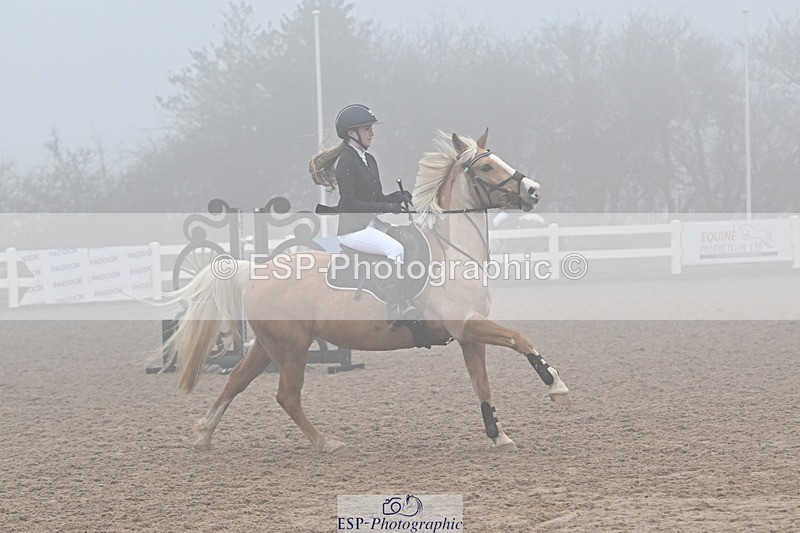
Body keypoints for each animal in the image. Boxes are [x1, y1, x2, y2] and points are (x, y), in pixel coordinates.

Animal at [161, 129, 570, 453]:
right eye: (486, 168)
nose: (533, 190)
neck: (454, 253)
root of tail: (257, 271)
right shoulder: (467, 325)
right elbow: (521, 339)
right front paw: (556, 386)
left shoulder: (470, 334)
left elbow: (482, 385)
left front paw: (498, 435)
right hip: (292, 349)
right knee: (286, 397)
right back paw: (326, 443)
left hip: (268, 346)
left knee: (236, 381)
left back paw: (204, 435)